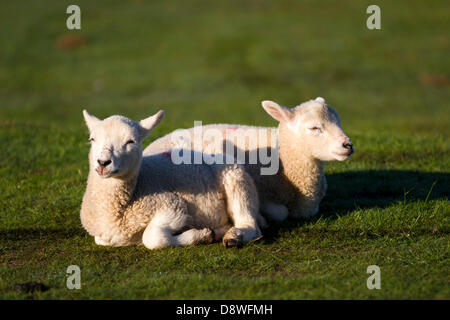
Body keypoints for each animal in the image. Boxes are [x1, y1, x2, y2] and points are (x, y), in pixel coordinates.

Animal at [80, 109, 268, 249]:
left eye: (131, 141)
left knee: (250, 225)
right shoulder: (105, 235)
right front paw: (207, 233)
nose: (103, 162)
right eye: (92, 139)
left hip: (237, 182)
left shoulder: (172, 205)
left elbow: (153, 238)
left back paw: (234, 236)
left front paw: (201, 235)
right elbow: (102, 240)